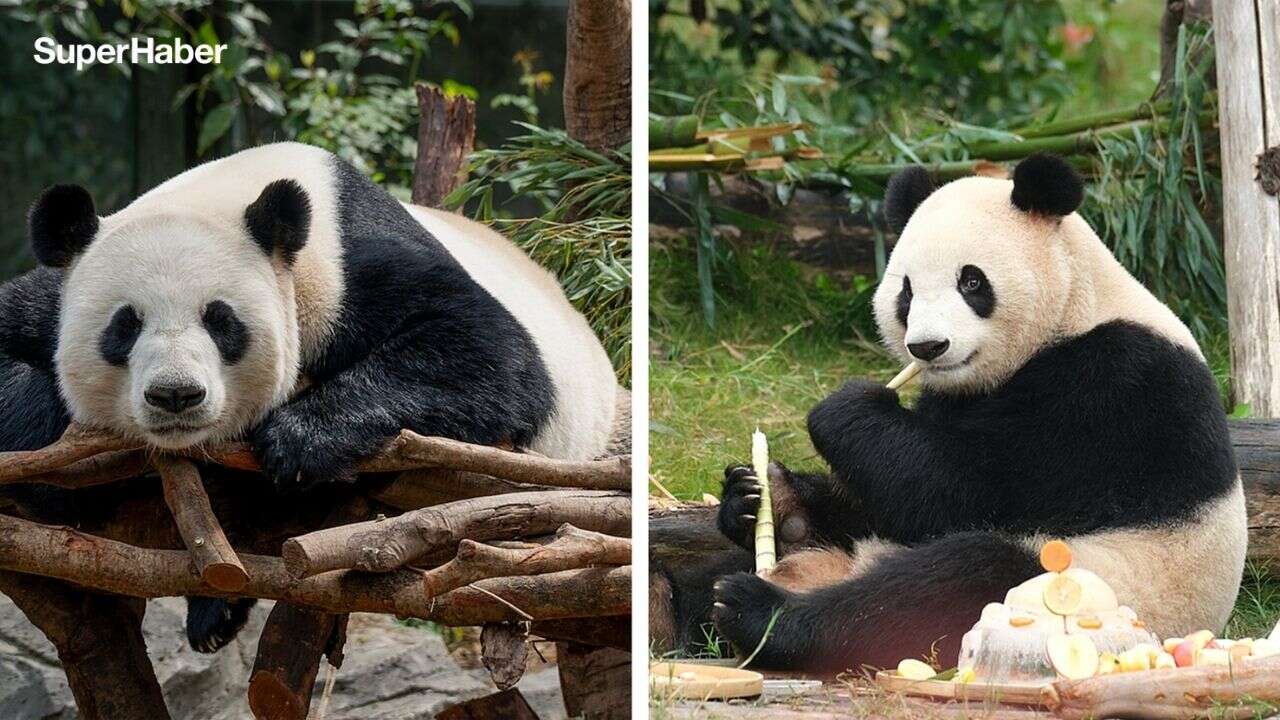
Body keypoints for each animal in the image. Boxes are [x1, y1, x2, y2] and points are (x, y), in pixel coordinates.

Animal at [5, 142, 619, 651]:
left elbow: (487, 349)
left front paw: (298, 442)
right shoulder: (50, 297)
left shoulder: (345, 268)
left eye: (221, 321)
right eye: (125, 325)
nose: (176, 395)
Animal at [703, 154, 1246, 673]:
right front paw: (759, 492)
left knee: (949, 582)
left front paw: (846, 409)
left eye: (971, 281)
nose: (927, 347)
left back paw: (759, 613)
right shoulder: (951, 397)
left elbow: (966, 491)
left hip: (1093, 579)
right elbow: (893, 497)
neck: (1075, 308)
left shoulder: (1114, 387)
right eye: (906, 291)